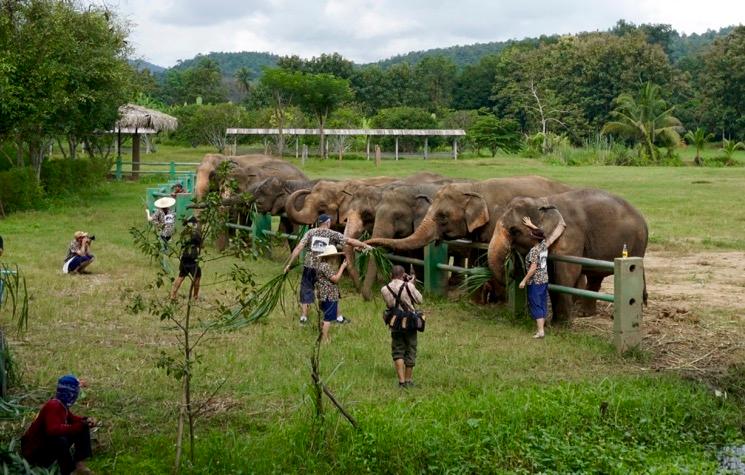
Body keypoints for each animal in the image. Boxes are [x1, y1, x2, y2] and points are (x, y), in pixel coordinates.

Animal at [487, 188, 648, 322]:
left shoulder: (570, 235)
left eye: (514, 231)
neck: (543, 202)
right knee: (595, 277)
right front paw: (554, 322)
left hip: (637, 246)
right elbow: (551, 275)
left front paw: (560, 326)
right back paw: (585, 314)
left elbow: (567, 272)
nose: (511, 272)